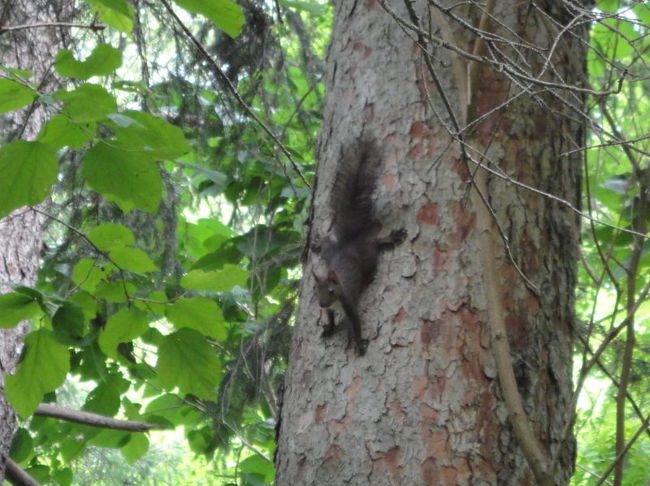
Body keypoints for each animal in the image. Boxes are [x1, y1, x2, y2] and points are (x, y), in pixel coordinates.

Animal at [310, 139, 404, 356]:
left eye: (331, 291)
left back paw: (389, 240)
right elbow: (330, 318)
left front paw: (359, 343)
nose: (321, 303)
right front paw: (329, 328)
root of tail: (349, 242)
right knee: (327, 245)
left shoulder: (349, 303)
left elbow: (357, 323)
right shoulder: (330, 310)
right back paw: (318, 243)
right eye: (316, 291)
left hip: (368, 256)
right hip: (330, 253)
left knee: (375, 246)